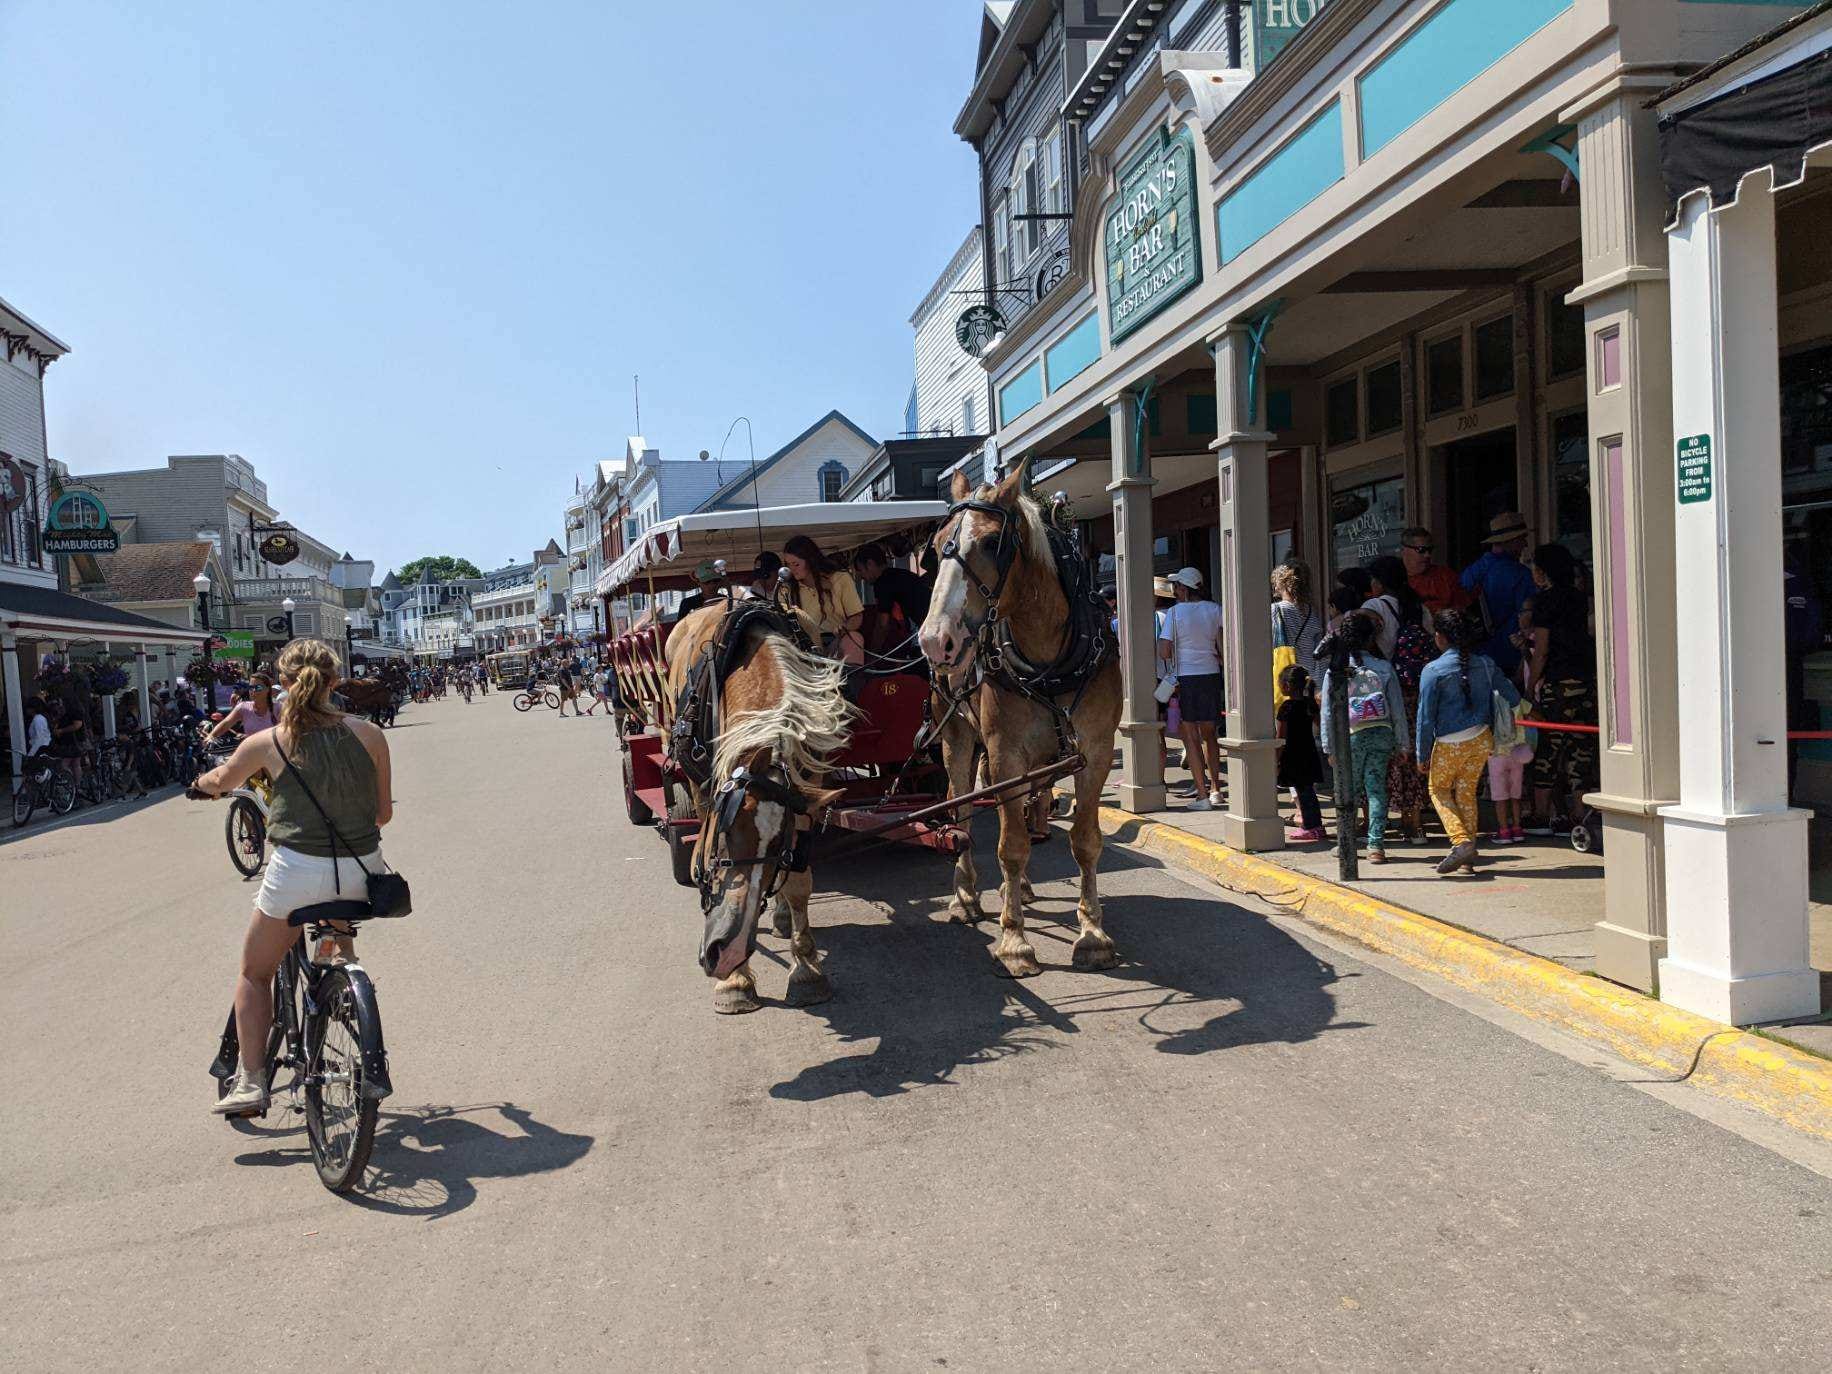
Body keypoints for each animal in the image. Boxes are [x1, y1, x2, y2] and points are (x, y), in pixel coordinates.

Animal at [666, 600, 850, 1011]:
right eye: (722, 836)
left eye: (780, 848)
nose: (728, 952)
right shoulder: (703, 790)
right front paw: (735, 980)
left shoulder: (805, 792)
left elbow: (798, 882)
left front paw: (806, 971)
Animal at [912, 463, 1113, 981]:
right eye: (936, 543)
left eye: (990, 542)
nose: (935, 640)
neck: (1049, 661)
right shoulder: (1003, 756)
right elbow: (1010, 847)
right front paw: (1014, 941)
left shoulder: (1096, 753)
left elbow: (1085, 842)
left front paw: (1092, 933)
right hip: (957, 736)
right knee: (962, 809)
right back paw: (967, 894)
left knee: (1028, 811)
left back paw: (1015, 890)